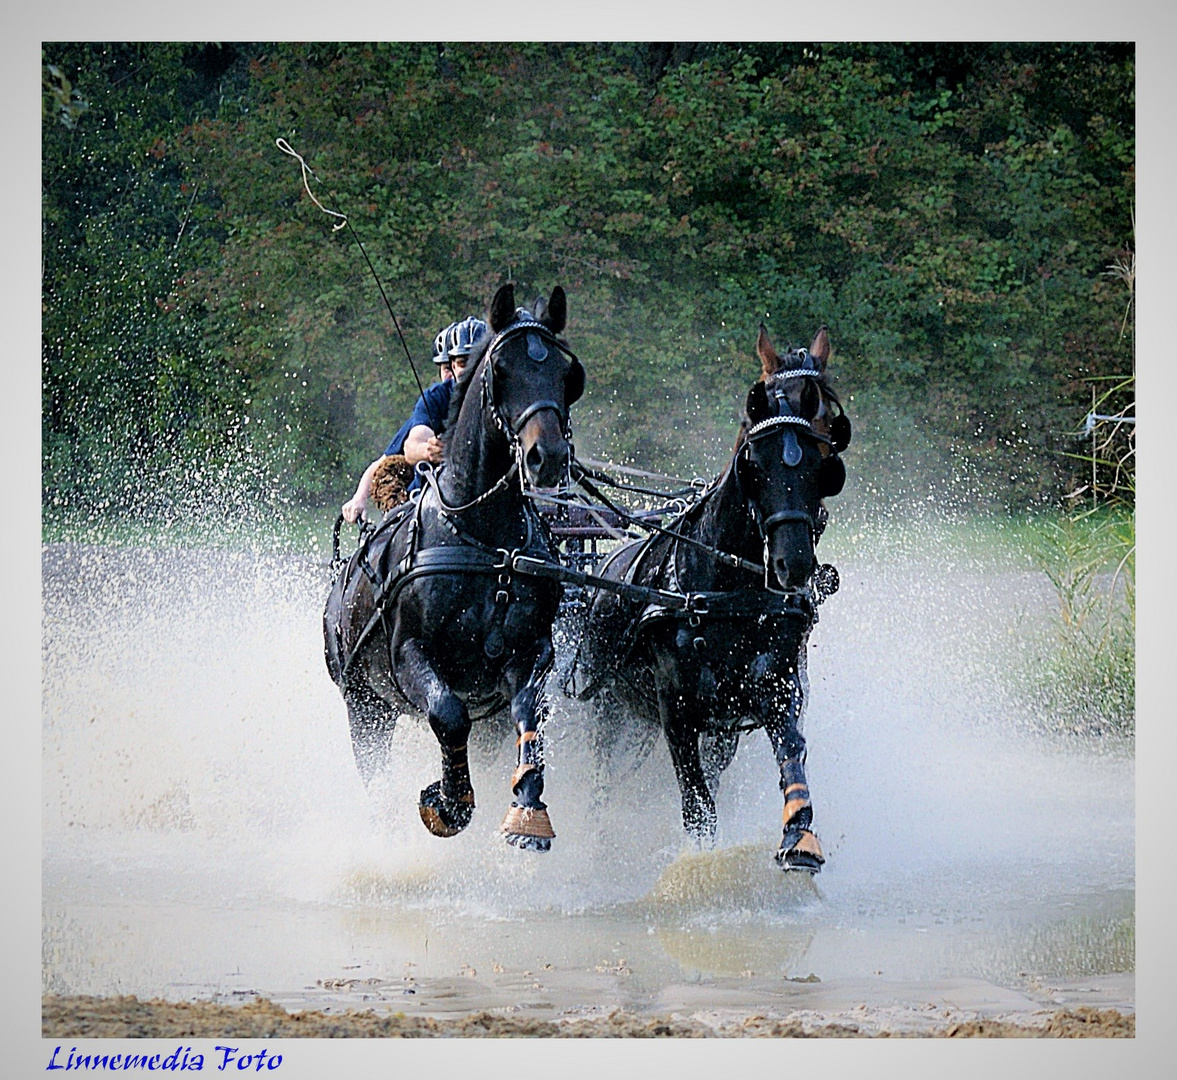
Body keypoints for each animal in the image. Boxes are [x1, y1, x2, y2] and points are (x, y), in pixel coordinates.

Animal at [322, 281, 583, 851]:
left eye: (566, 373)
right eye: (500, 369)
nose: (547, 457)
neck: (485, 539)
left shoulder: (530, 651)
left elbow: (527, 711)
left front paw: (527, 811)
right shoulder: (408, 654)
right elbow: (447, 714)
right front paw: (447, 801)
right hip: (364, 705)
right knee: (375, 761)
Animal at [569, 324, 847, 875]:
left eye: (826, 454)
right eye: (755, 461)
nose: (793, 564)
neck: (726, 590)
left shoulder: (776, 690)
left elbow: (792, 757)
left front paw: (801, 839)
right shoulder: (675, 712)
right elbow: (697, 807)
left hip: (710, 731)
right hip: (609, 710)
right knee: (604, 779)